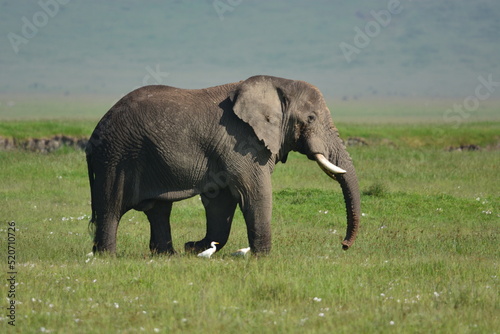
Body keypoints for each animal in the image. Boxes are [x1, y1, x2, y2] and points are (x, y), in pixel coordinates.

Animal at [86, 75, 360, 256]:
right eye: (311, 118)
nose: (343, 245)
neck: (276, 84)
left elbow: (221, 200)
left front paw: (195, 248)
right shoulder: (241, 141)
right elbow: (255, 192)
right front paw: (263, 258)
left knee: (159, 210)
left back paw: (167, 255)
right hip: (115, 157)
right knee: (111, 208)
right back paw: (107, 257)